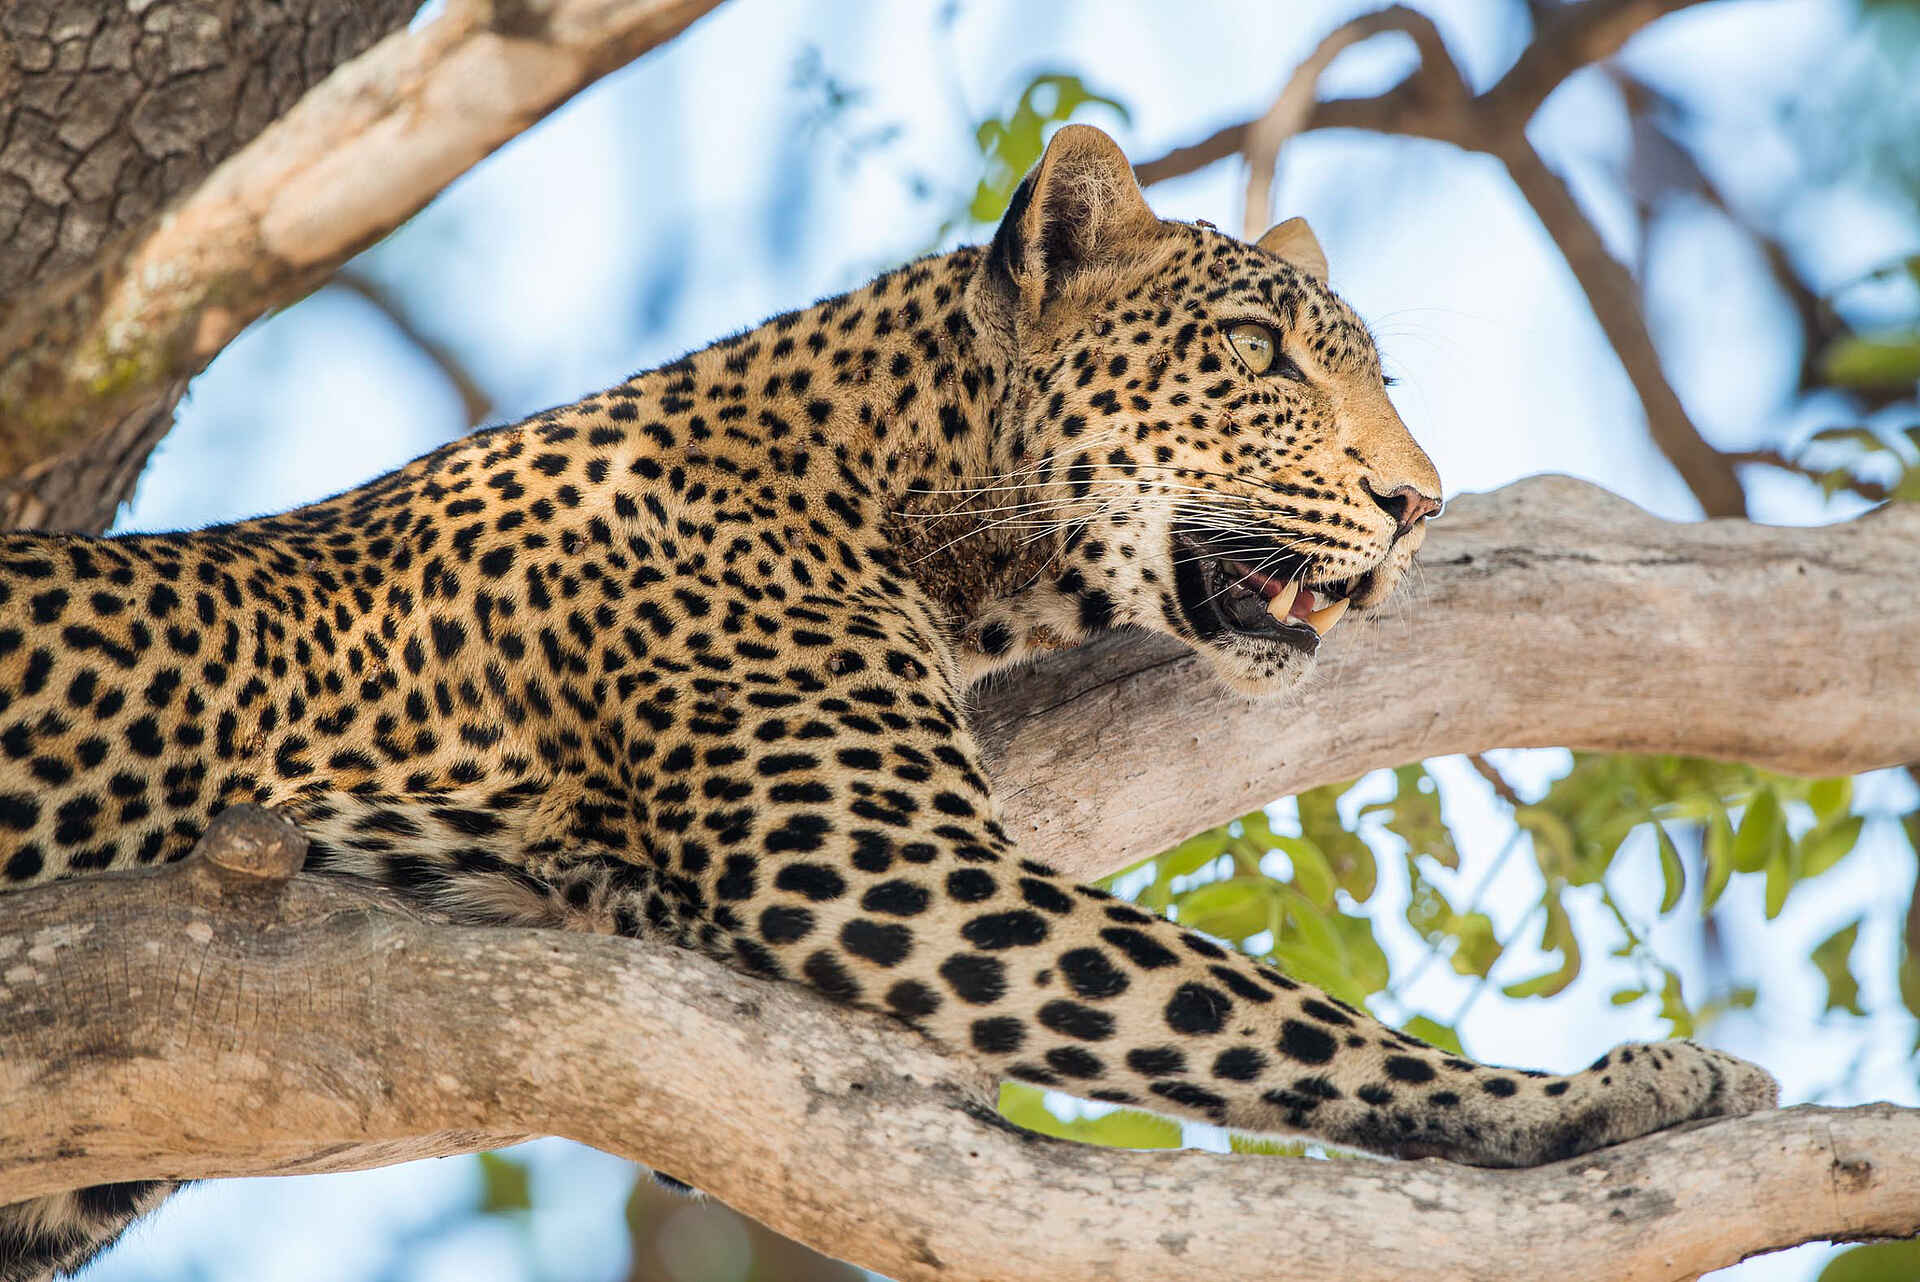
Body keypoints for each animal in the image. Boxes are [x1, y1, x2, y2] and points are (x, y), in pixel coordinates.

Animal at [0, 124, 1776, 1280]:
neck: (905, 489)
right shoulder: (872, 861)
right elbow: (1267, 1011)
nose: (1419, 504)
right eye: (1259, 352)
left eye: (1379, 378)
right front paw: (1609, 1090)